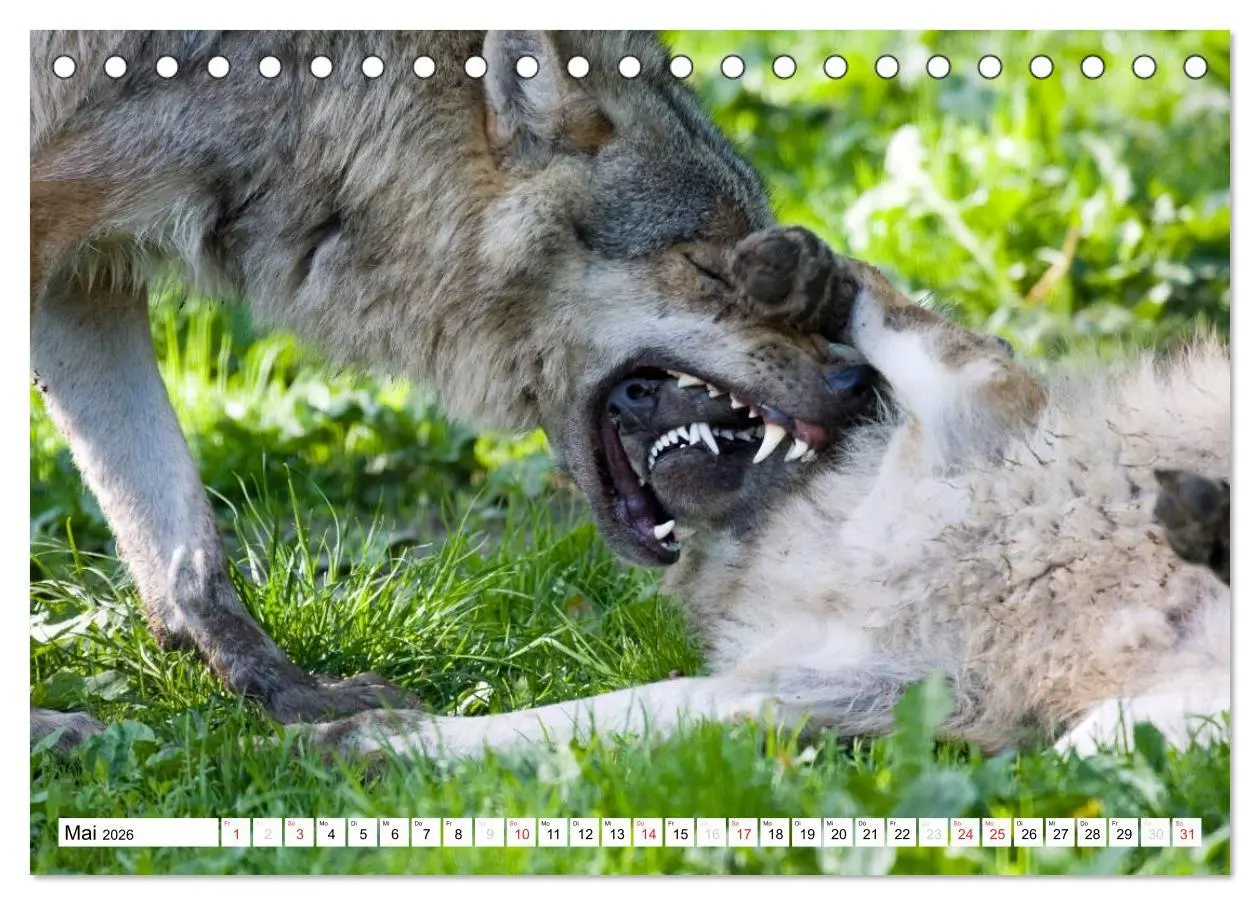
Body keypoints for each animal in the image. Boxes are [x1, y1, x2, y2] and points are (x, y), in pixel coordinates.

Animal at [30, 32, 869, 747]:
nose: (855, 375)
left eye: (764, 250)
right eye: (705, 267)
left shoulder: (85, 282)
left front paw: (296, 694)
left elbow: (187, 552)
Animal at [308, 226, 1230, 760]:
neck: (792, 519)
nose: (629, 396)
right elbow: (601, 714)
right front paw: (387, 742)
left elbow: (884, 301)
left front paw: (805, 270)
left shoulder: (975, 390)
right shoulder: (836, 682)